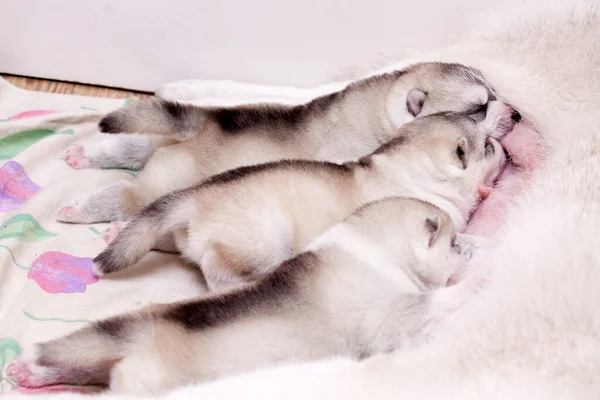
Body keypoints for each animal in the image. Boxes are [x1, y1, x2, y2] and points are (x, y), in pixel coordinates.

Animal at [7, 196, 480, 394]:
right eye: (453, 243)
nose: (467, 249)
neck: (375, 250)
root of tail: (146, 331)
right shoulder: (392, 318)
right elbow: (430, 303)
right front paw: (477, 279)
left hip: (102, 357)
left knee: (81, 368)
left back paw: (31, 374)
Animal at [54, 62, 508, 227]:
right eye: (478, 108)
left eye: (494, 92)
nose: (517, 115)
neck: (383, 103)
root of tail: (199, 125)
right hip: (159, 184)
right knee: (126, 194)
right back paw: (78, 209)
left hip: (155, 145)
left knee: (131, 149)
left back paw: (84, 154)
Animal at [91, 111, 508, 292]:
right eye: (488, 146)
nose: (503, 147)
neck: (408, 165)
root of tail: (195, 197)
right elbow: (463, 238)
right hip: (265, 239)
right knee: (217, 271)